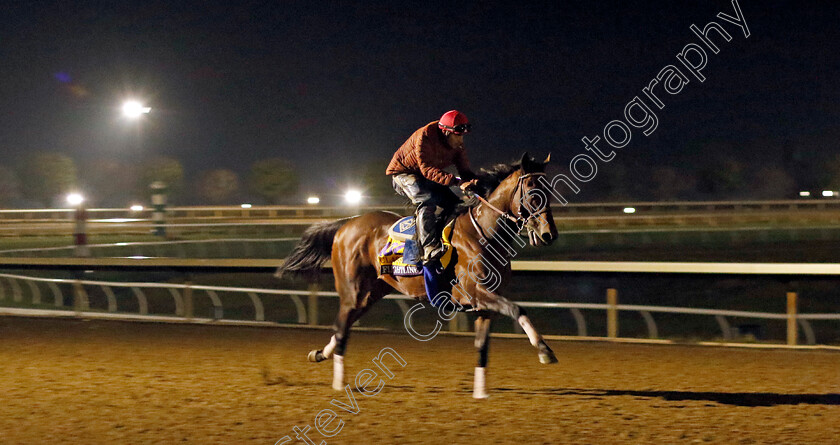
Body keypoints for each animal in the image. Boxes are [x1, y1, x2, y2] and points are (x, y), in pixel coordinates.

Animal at [276, 153, 560, 398]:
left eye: (550, 191)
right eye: (533, 192)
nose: (549, 234)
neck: (483, 233)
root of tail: (346, 224)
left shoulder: (485, 302)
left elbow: (482, 347)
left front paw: (481, 393)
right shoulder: (476, 292)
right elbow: (518, 309)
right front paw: (545, 351)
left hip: (371, 294)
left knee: (342, 327)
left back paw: (319, 354)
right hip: (351, 291)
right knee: (341, 328)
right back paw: (338, 382)